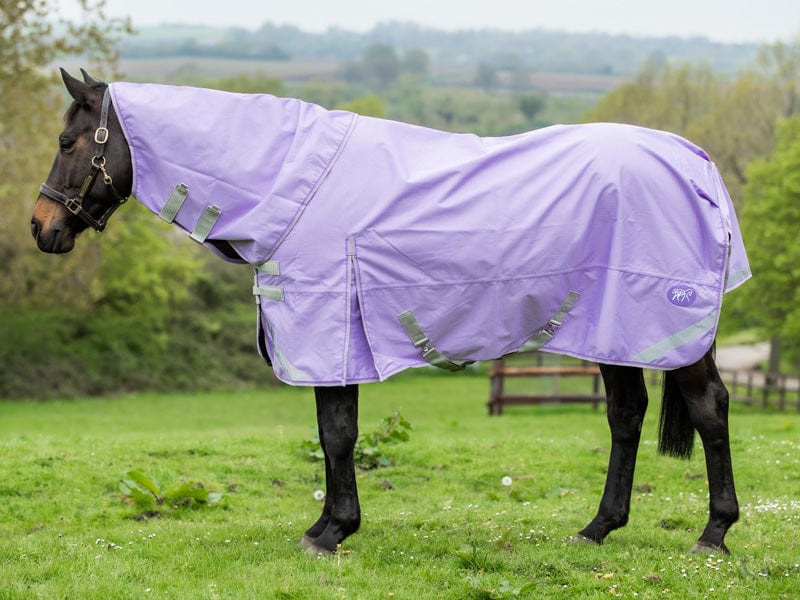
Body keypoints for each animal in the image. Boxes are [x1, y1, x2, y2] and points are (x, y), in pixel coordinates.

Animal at [31, 69, 747, 556]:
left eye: (68, 141)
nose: (42, 228)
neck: (290, 187)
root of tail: (696, 162)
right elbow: (334, 432)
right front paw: (327, 525)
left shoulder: (327, 332)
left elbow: (337, 433)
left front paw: (331, 533)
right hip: (613, 332)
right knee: (626, 416)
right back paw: (598, 528)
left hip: (659, 330)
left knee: (709, 408)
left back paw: (713, 533)